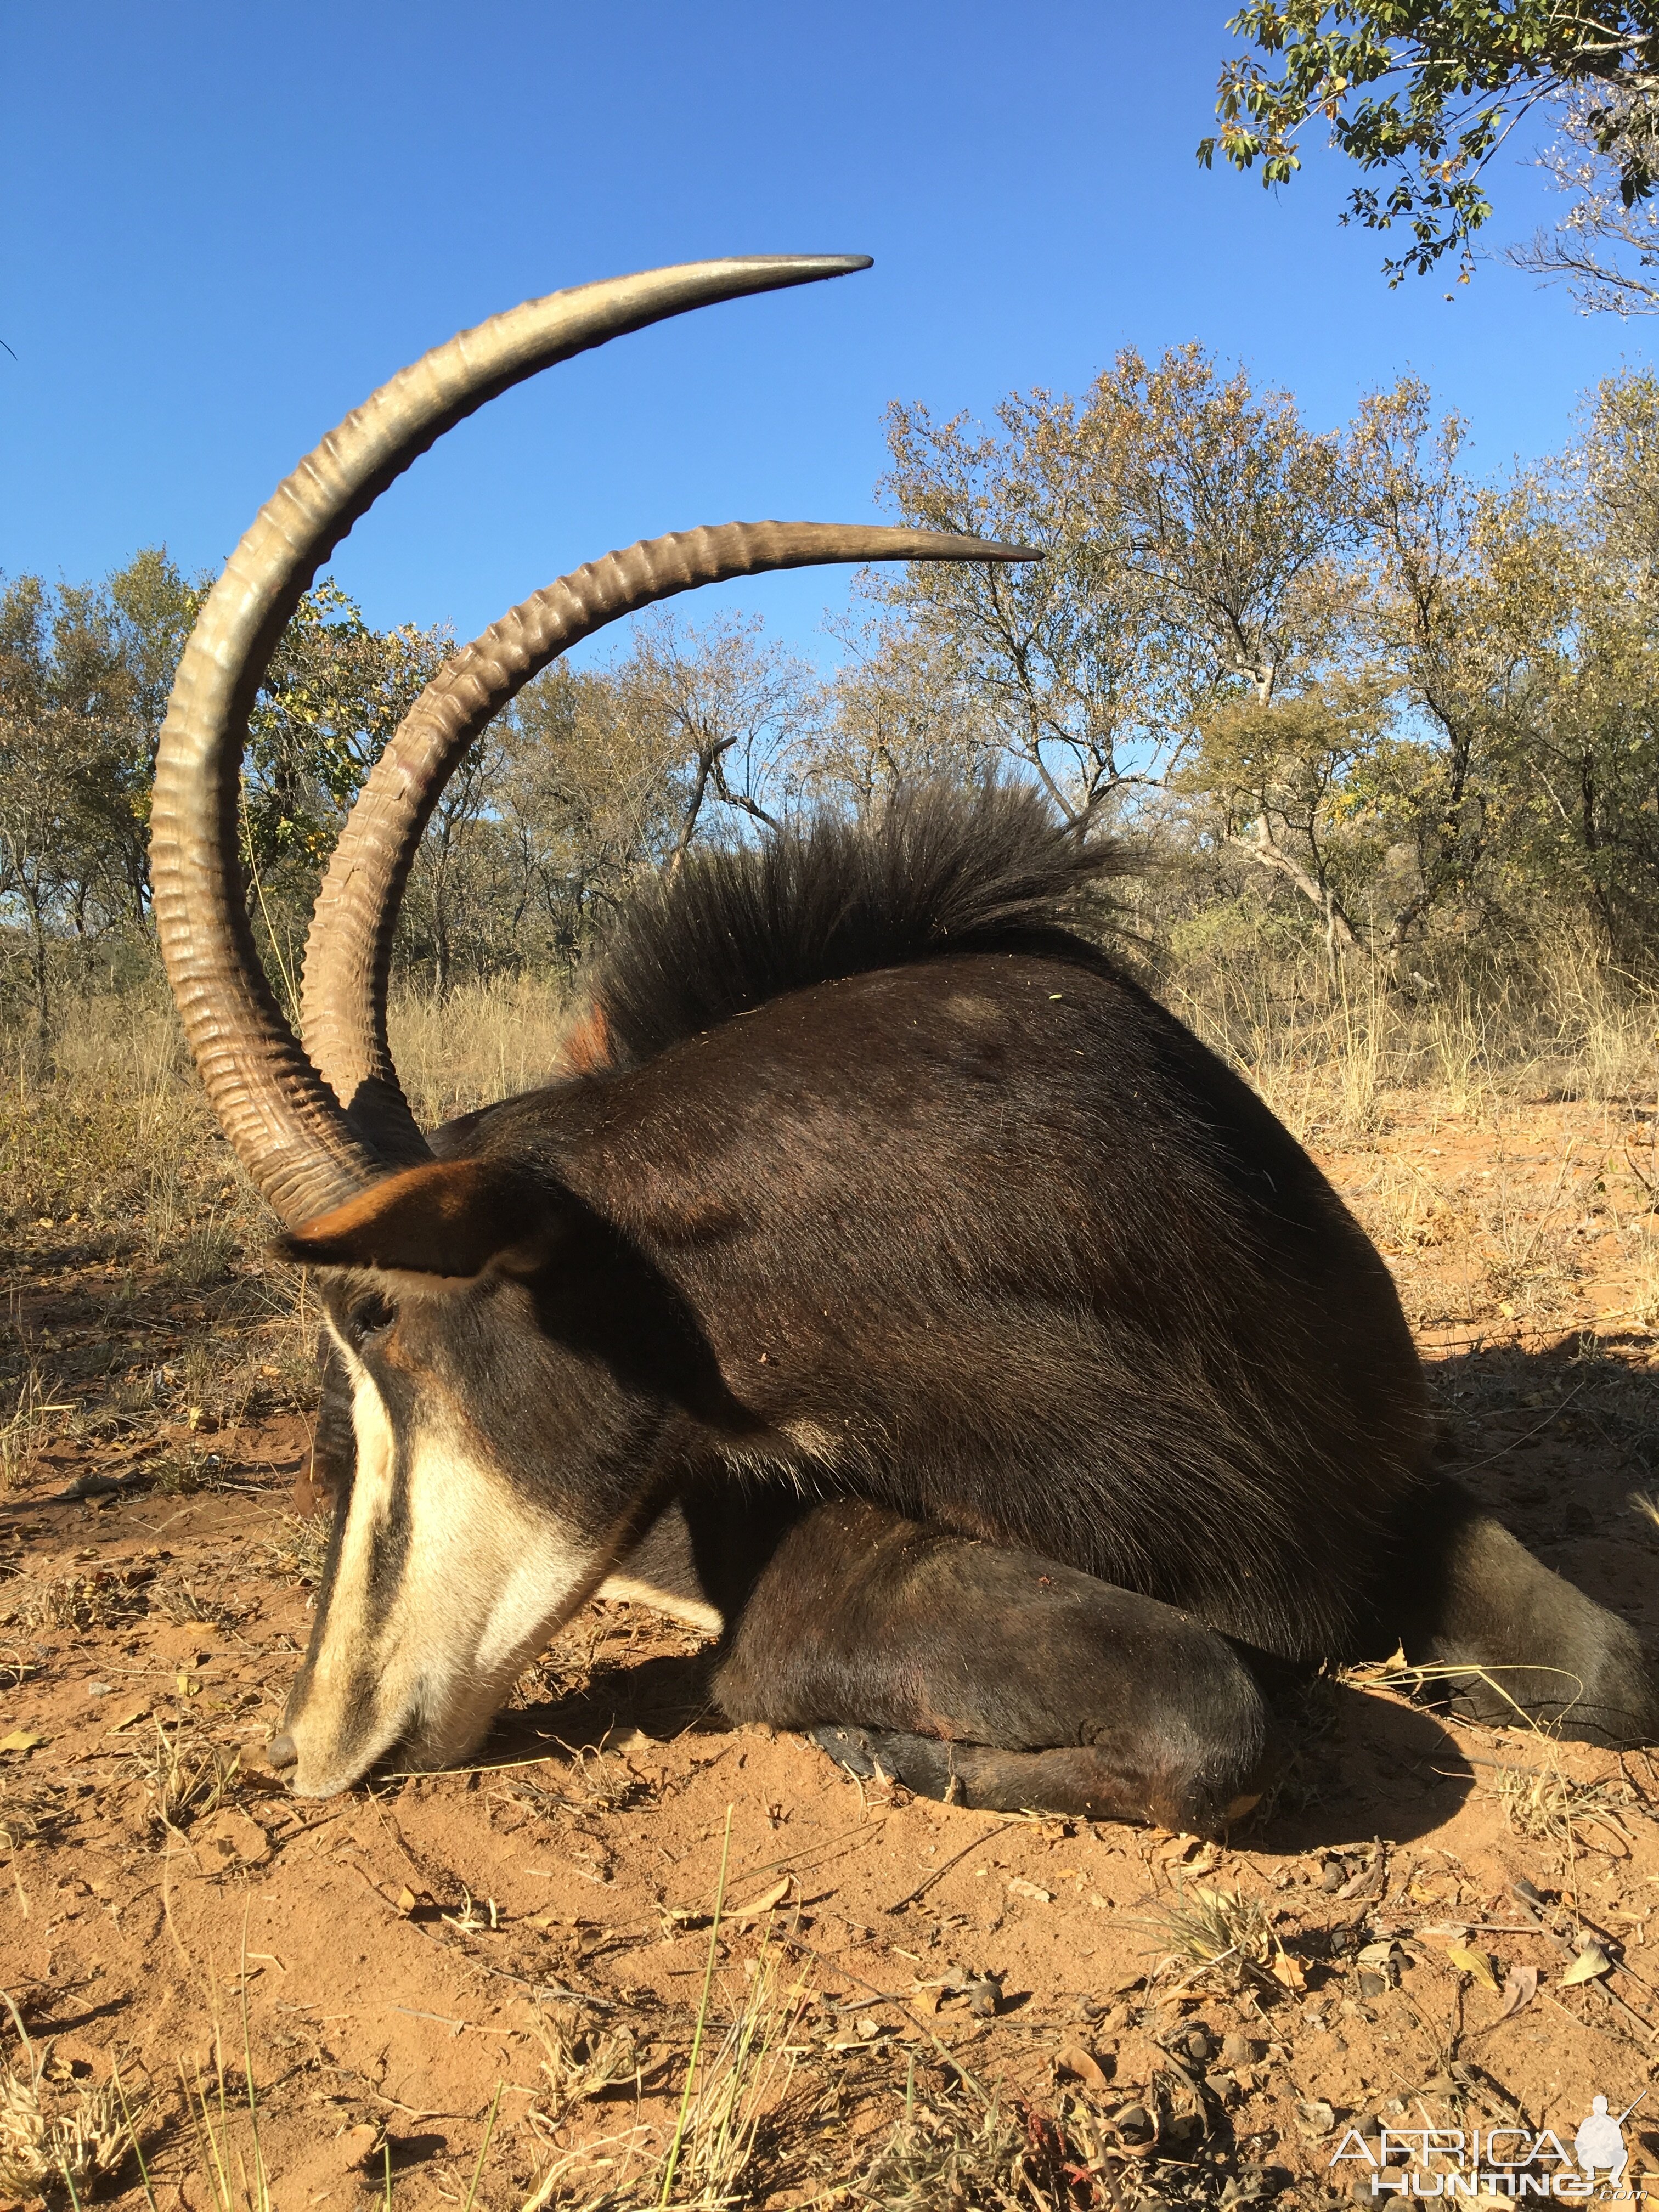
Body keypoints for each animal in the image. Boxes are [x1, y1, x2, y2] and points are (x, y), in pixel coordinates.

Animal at [149, 258, 1654, 1822]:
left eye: (378, 1317)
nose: (307, 1744)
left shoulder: (1384, 1495)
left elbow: (1611, 1669)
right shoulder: (815, 1582)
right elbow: (1209, 1712)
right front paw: (871, 1741)